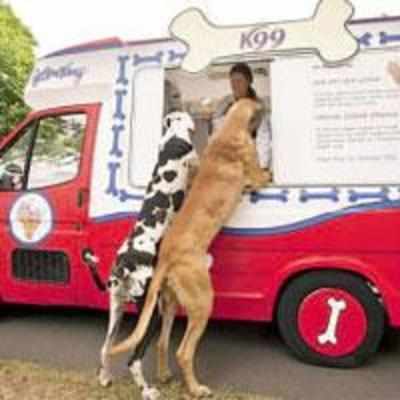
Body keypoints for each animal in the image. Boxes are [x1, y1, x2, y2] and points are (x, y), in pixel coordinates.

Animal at [98, 110, 198, 400]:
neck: (174, 137)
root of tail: (123, 265)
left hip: (116, 310)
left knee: (105, 348)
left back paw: (105, 378)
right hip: (151, 314)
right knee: (133, 359)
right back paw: (148, 391)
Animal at [109, 98, 272, 398]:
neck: (230, 128)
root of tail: (163, 257)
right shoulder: (257, 176)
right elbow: (265, 174)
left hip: (171, 303)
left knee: (162, 343)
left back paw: (164, 376)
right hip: (202, 302)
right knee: (183, 352)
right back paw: (196, 389)